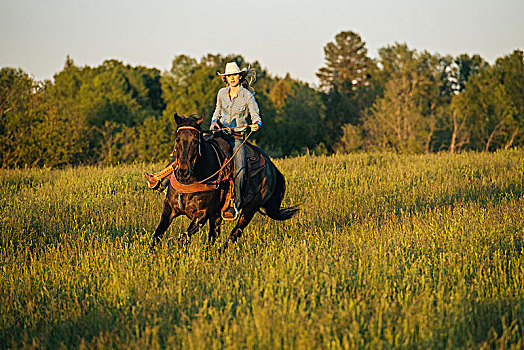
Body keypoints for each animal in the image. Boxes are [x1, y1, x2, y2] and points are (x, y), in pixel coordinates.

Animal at [151, 113, 298, 250]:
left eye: (195, 141)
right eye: (177, 139)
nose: (183, 171)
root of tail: (270, 165)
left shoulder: (201, 216)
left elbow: (183, 238)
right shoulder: (169, 208)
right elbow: (157, 234)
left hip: (250, 209)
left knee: (234, 234)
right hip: (217, 215)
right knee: (213, 237)